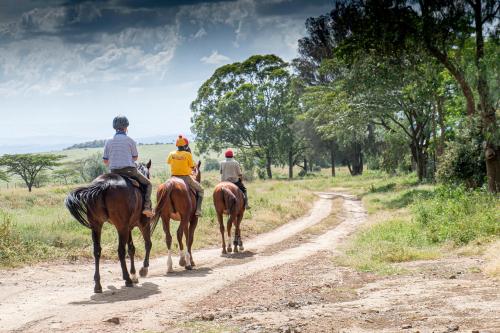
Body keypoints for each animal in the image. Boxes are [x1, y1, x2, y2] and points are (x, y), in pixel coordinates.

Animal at [65, 161, 153, 294]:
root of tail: (104, 184)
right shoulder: (143, 224)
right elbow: (147, 244)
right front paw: (143, 269)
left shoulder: (128, 227)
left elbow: (131, 249)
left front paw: (134, 275)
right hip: (122, 227)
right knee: (121, 251)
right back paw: (127, 279)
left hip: (96, 226)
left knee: (97, 251)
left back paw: (98, 285)